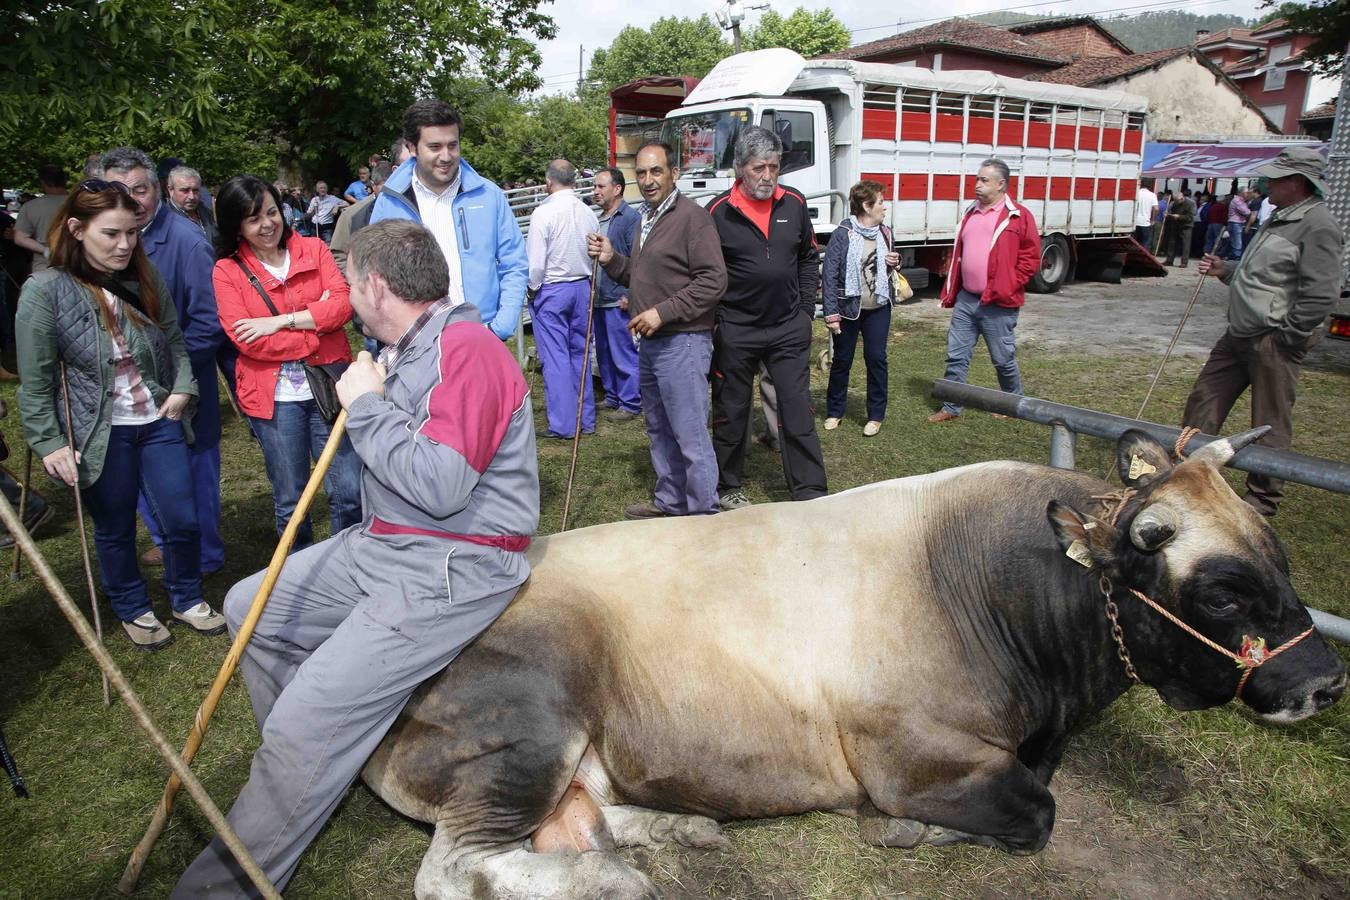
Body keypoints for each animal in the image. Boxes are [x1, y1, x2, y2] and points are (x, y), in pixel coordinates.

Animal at [361, 429, 1350, 900]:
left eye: (1279, 556)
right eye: (1221, 591)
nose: (1325, 682)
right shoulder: (913, 756)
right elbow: (1036, 813)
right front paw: (907, 833)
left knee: (584, 814)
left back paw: (678, 830)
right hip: (523, 730)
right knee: (453, 869)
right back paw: (616, 877)